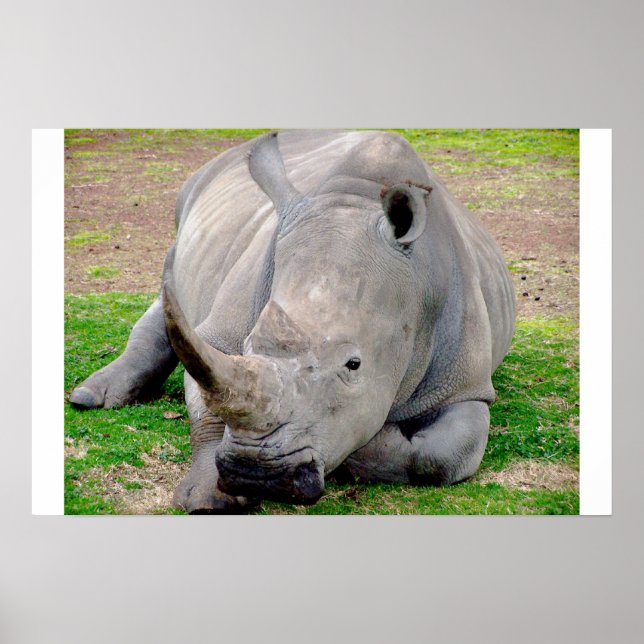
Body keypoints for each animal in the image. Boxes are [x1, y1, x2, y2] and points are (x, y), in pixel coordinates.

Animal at [69, 130, 515, 513]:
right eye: (248, 346)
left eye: (354, 365)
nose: (254, 472)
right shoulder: (220, 342)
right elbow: (209, 404)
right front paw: (208, 500)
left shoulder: (464, 385)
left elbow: (440, 456)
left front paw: (369, 445)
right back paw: (88, 398)